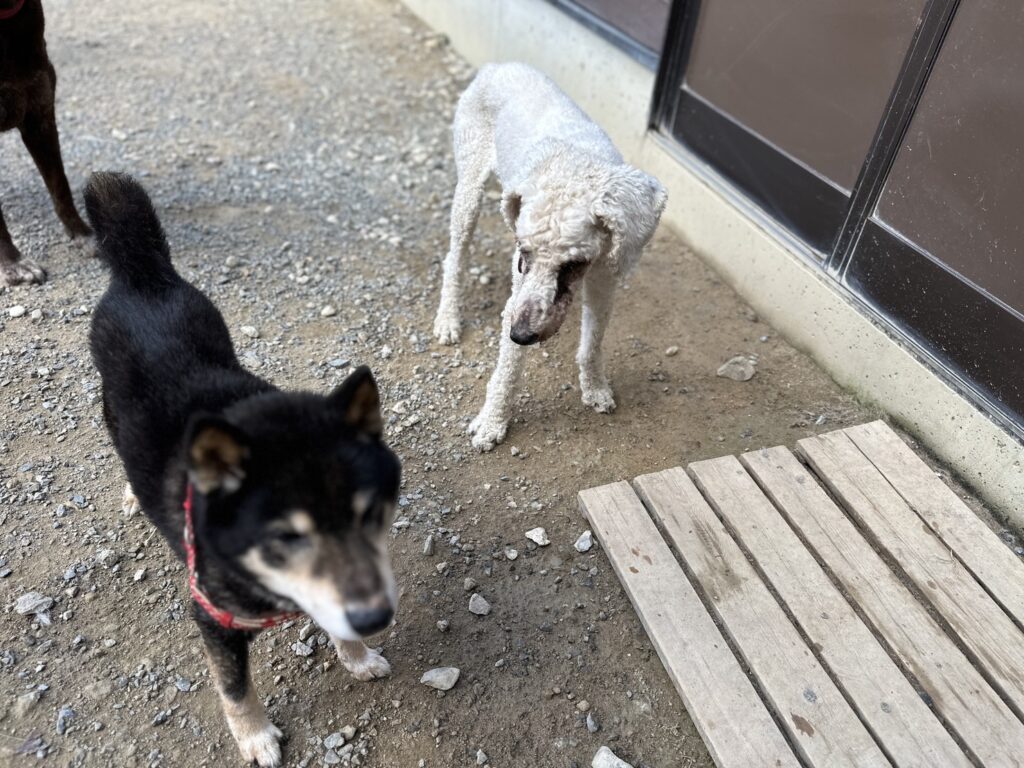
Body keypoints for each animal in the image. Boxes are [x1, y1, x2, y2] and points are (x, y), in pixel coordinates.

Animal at [86, 173, 400, 767]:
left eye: (371, 514)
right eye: (286, 536)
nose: (376, 619)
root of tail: (144, 277)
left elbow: (335, 616)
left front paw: (357, 654)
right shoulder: (214, 617)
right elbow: (234, 688)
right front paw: (255, 737)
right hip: (111, 404)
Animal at [432, 62, 667, 451]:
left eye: (573, 264)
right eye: (523, 254)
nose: (521, 335)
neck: (576, 163)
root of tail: (497, 66)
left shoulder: (604, 283)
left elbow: (592, 345)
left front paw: (595, 388)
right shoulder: (518, 297)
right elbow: (508, 370)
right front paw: (492, 422)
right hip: (469, 188)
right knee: (455, 259)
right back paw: (448, 319)